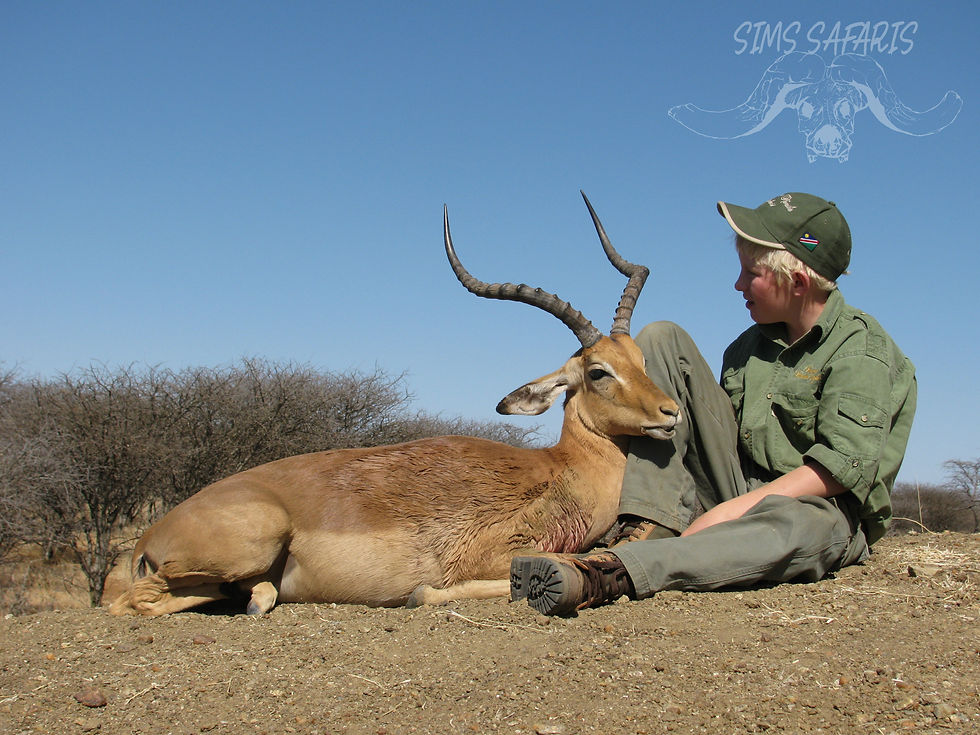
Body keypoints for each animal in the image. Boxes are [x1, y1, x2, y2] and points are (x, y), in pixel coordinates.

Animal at [109, 192, 680, 616]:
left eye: (640, 360)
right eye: (598, 372)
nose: (670, 413)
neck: (559, 472)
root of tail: (151, 534)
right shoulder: (487, 554)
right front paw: (420, 592)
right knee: (130, 603)